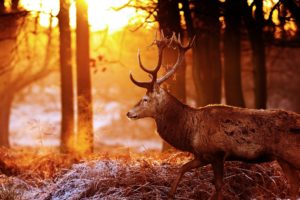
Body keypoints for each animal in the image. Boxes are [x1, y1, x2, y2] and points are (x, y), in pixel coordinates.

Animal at [126, 33, 300, 199]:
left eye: (145, 99)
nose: (128, 113)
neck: (190, 133)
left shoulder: (217, 153)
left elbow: (218, 186)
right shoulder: (202, 155)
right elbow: (182, 168)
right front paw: (170, 195)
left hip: (292, 153)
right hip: (283, 159)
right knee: (294, 187)